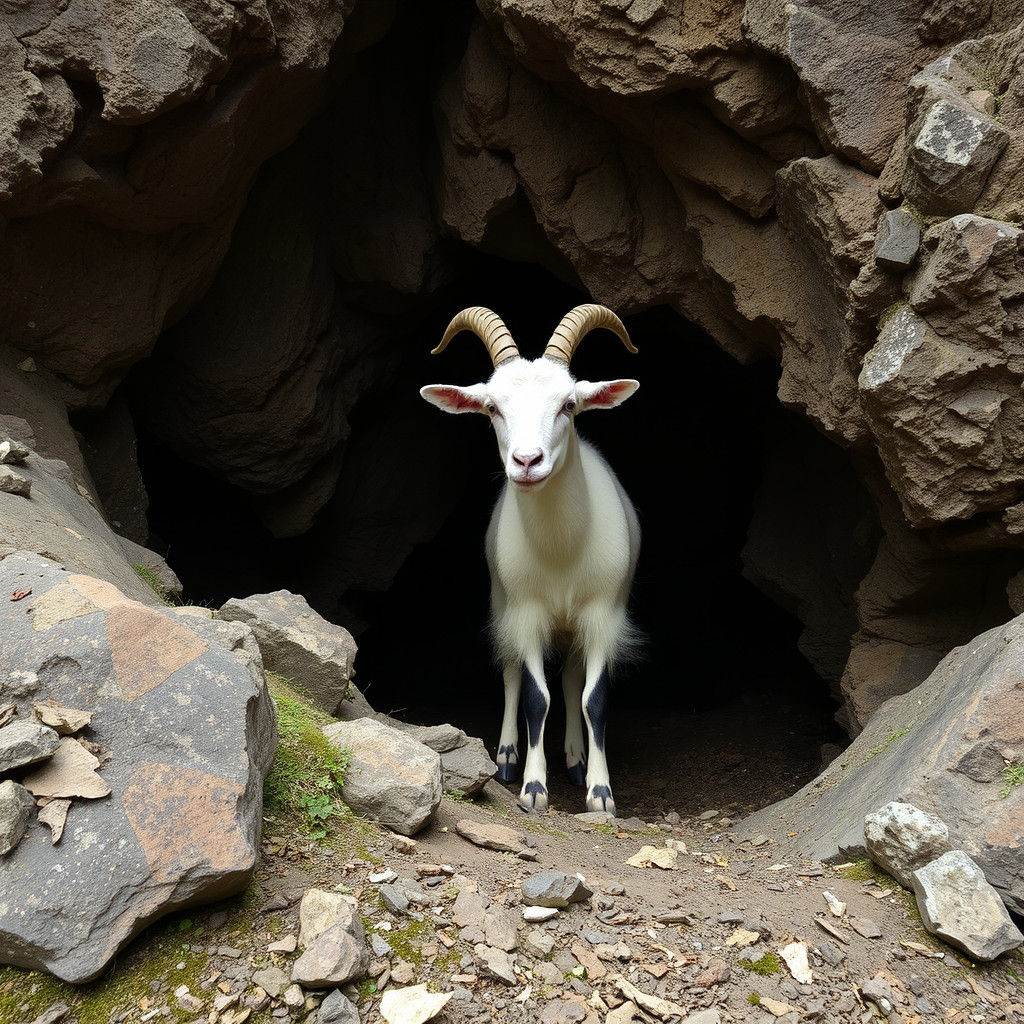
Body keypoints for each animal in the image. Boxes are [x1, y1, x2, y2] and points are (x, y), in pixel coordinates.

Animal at [420, 305, 640, 815]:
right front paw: (533, 788)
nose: (526, 461)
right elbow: (535, 698)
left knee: (573, 678)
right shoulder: (526, 613)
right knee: (511, 673)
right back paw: (505, 758)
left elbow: (594, 698)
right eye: (492, 407)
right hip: (504, 604)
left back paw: (576, 759)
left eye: (569, 405)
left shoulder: (603, 615)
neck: (561, 550)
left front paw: (600, 793)